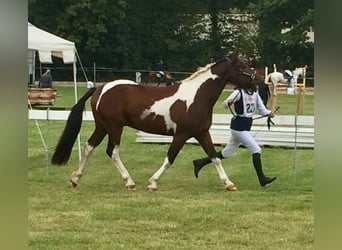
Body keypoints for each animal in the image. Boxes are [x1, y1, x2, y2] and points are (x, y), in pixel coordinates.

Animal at [50, 51, 264, 190]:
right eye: (243, 66)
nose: (258, 82)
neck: (197, 96)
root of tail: (100, 88)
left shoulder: (202, 133)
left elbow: (214, 156)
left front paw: (229, 183)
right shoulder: (182, 134)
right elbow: (170, 158)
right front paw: (153, 182)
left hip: (102, 127)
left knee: (89, 147)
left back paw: (75, 179)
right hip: (115, 128)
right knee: (112, 152)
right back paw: (129, 181)